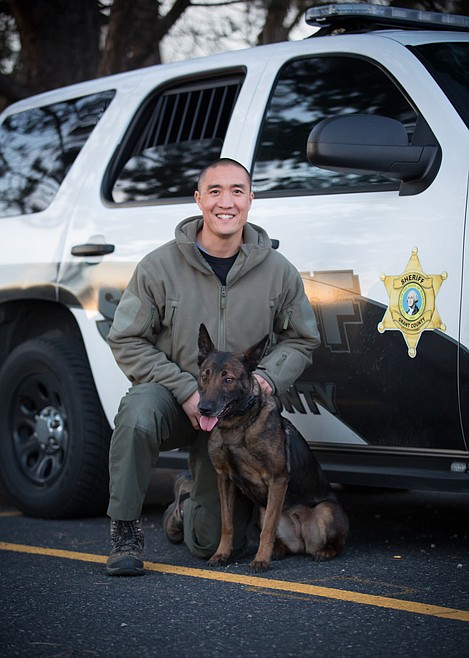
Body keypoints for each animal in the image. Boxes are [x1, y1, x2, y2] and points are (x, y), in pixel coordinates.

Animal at [197, 323, 349, 572]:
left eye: (228, 379)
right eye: (205, 376)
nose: (203, 409)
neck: (236, 426)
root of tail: (303, 541)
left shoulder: (278, 479)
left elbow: (268, 529)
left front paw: (260, 560)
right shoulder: (225, 479)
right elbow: (227, 524)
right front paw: (221, 554)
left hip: (325, 512)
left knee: (335, 544)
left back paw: (322, 552)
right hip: (262, 510)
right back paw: (277, 551)